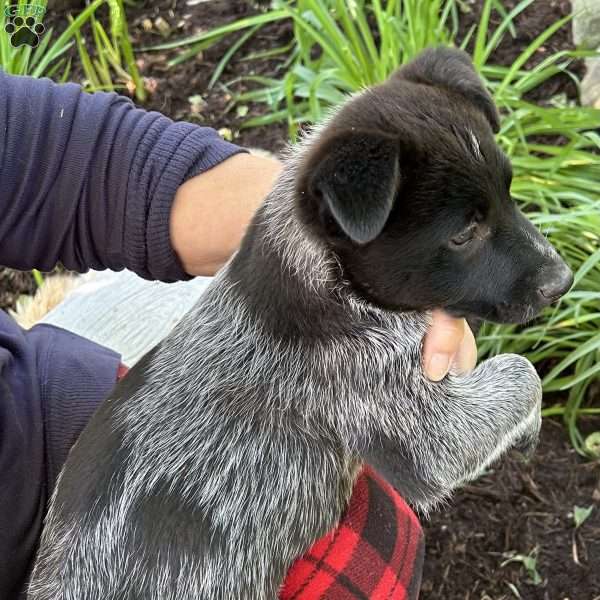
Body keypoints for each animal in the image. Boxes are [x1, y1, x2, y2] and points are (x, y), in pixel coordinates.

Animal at [28, 48, 572, 600]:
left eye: (509, 192)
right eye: (463, 234)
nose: (564, 280)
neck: (324, 279)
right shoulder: (413, 423)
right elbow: (521, 372)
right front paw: (530, 419)